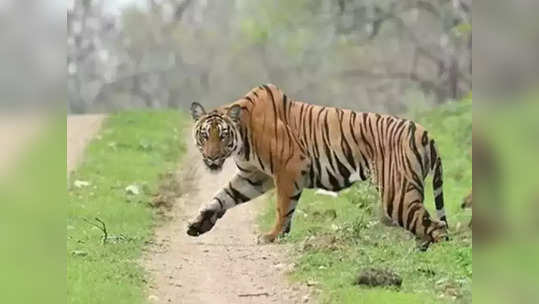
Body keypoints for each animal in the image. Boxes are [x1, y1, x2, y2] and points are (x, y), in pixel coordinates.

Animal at [188, 84, 450, 248]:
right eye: (204, 136)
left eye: (222, 136)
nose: (212, 158)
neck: (242, 138)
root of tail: (426, 134)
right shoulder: (254, 176)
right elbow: (222, 197)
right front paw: (198, 224)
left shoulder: (289, 166)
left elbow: (283, 207)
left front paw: (273, 236)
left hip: (397, 194)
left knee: (437, 227)